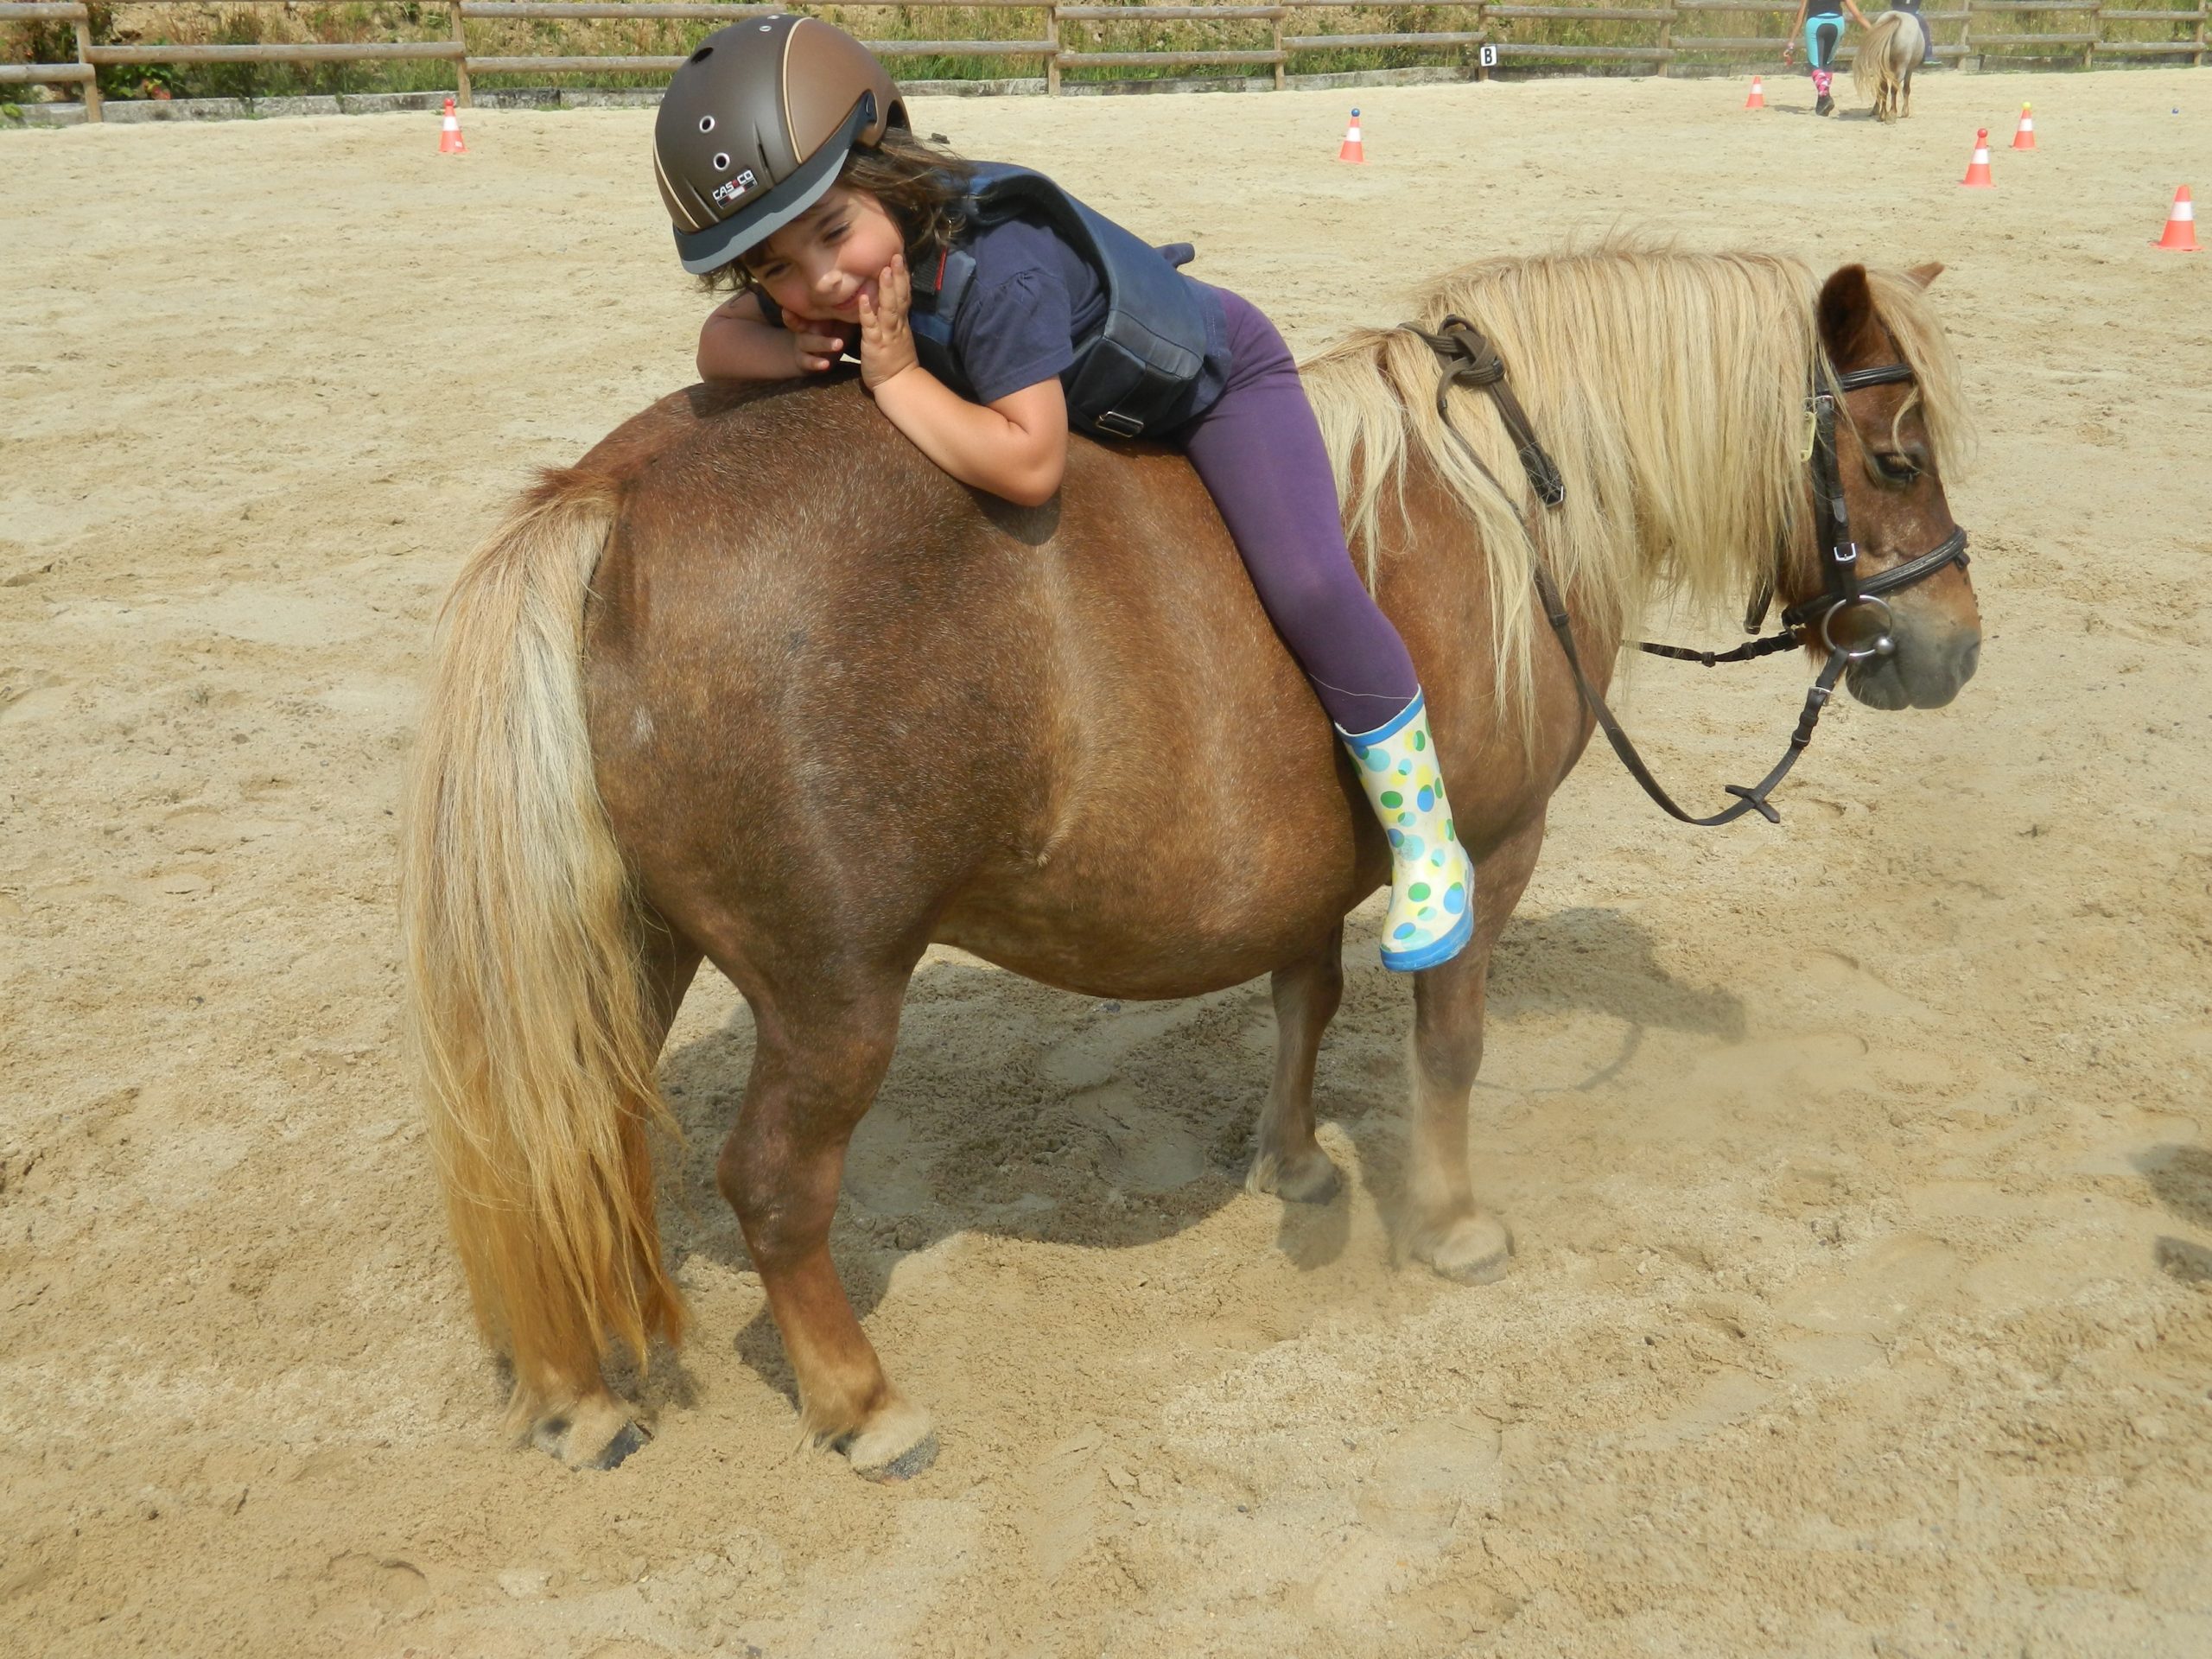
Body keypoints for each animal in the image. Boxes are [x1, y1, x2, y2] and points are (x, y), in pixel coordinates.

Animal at [402, 250, 1991, 1478]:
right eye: (1895, 458)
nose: (1955, 649)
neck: (1501, 496)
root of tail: (614, 496)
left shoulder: (1307, 869)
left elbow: (1302, 1001)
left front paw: (1292, 1162)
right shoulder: (1490, 847)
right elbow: (1450, 1041)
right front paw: (1454, 1224)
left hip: (632, 944)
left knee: (560, 1144)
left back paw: (577, 1391)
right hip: (830, 989)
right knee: (777, 1185)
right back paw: (862, 1404)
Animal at [1858, 10, 1929, 124]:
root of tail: (1897, 17)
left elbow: (1882, 89)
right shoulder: (1909, 70)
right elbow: (1906, 89)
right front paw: (1905, 112)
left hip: (1882, 69)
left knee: (1884, 88)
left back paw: (1883, 114)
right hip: (1901, 68)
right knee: (1894, 89)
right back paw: (1891, 114)